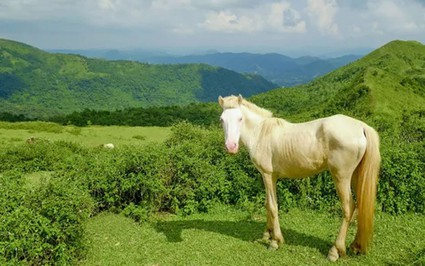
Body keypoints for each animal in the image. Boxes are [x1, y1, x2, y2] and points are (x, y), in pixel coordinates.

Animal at [217, 94, 380, 260]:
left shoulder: (268, 175)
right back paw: (356, 246)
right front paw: (267, 234)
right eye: (222, 119)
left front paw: (275, 241)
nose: (230, 147)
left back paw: (335, 251)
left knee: (349, 208)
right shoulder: (268, 177)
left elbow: (273, 206)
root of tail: (361, 126)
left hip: (341, 177)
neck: (261, 133)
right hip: (356, 176)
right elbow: (268, 204)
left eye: (240, 118)